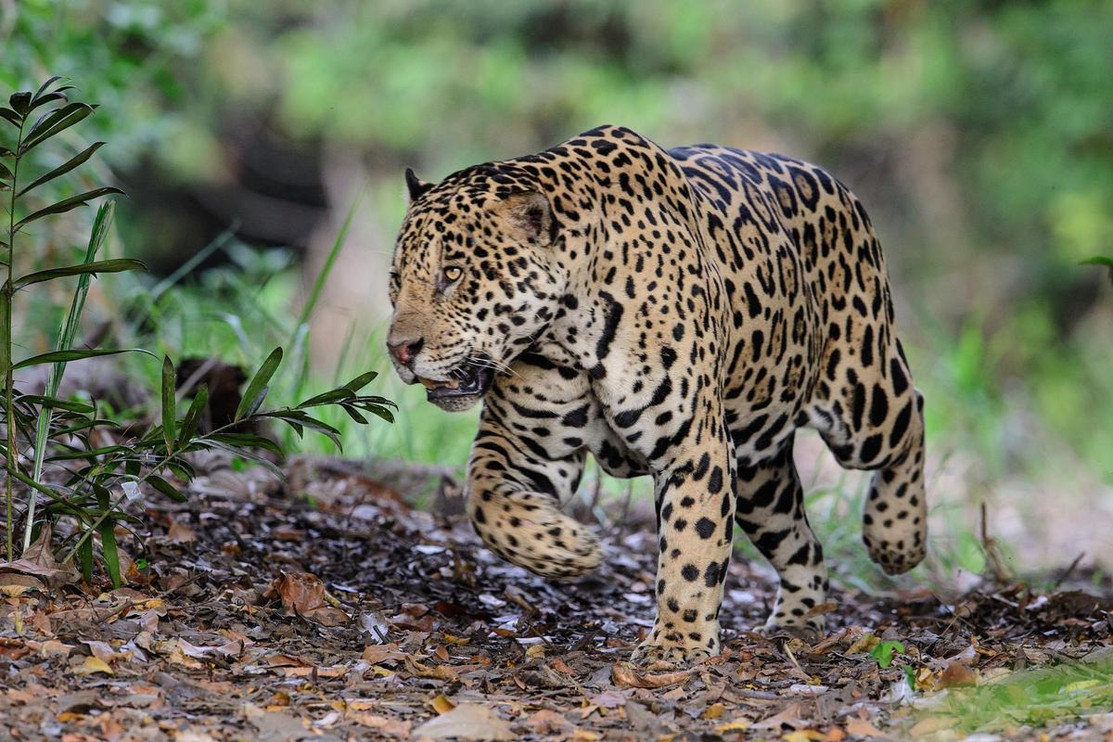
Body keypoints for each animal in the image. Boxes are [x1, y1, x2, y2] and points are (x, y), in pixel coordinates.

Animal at [386, 125, 926, 664]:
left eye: (454, 273)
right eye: (396, 279)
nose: (398, 349)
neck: (565, 331)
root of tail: (827, 177)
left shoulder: (695, 448)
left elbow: (692, 547)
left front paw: (677, 646)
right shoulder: (529, 448)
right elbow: (484, 499)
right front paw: (567, 547)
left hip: (861, 400)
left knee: (912, 414)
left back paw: (897, 539)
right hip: (759, 472)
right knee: (804, 546)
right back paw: (798, 624)